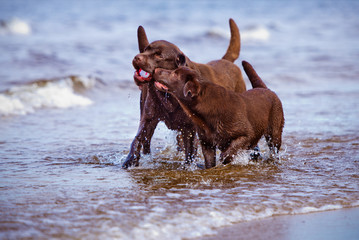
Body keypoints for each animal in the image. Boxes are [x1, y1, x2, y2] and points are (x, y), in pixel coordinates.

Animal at [124, 18, 248, 168]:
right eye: (146, 49)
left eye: (158, 55)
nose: (137, 57)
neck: (169, 96)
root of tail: (227, 61)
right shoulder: (148, 120)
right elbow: (137, 139)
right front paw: (130, 161)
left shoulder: (189, 128)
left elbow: (190, 150)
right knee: (148, 142)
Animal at [153, 60, 286, 169]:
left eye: (175, 74)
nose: (156, 70)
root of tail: (266, 89)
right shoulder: (207, 143)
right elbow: (210, 162)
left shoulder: (246, 134)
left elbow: (228, 152)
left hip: (274, 133)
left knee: (274, 149)